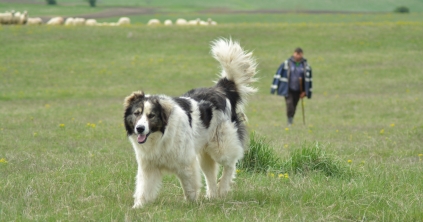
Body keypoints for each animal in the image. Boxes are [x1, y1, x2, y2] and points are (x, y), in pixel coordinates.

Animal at [123, 38, 258, 208]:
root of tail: (220, 89)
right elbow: (143, 188)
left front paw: (192, 204)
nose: (140, 129)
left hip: (221, 146)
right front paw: (138, 207)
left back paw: (222, 188)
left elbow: (189, 186)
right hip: (205, 153)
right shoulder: (148, 166)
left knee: (230, 164)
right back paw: (212, 195)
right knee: (210, 174)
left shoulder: (186, 162)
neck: (161, 135)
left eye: (151, 115)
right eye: (137, 113)